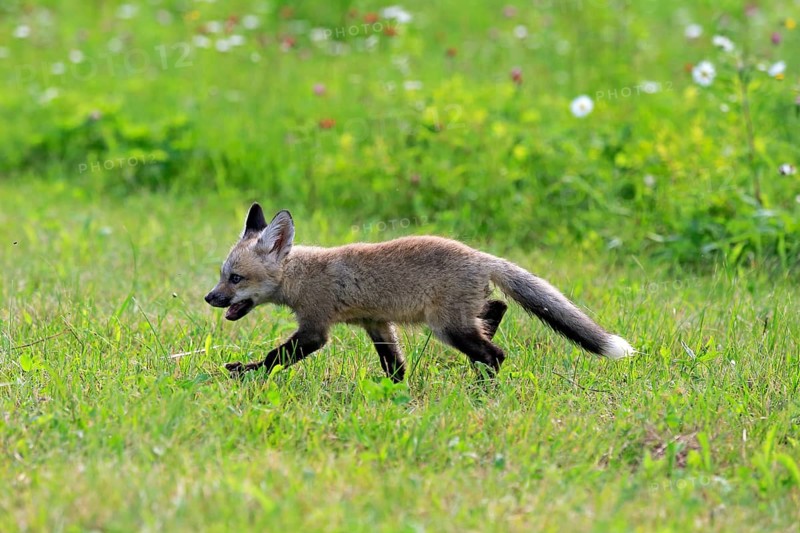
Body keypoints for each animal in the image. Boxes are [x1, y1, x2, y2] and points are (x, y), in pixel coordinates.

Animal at [205, 203, 635, 381]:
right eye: (222, 276)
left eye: (236, 279)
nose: (210, 298)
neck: (302, 275)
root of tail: (480, 255)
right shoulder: (376, 323)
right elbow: (394, 366)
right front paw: (394, 393)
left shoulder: (315, 328)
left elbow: (275, 357)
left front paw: (244, 373)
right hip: (458, 319)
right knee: (495, 309)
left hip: (446, 327)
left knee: (495, 354)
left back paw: (482, 388)